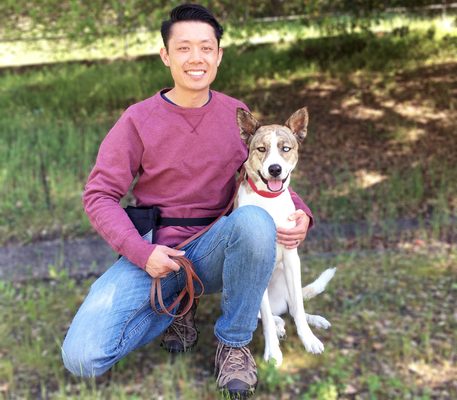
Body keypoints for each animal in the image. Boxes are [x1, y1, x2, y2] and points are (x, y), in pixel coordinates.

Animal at [237, 107, 334, 366]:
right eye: (261, 149)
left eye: (286, 148)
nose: (275, 169)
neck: (269, 202)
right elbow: (265, 318)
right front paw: (272, 351)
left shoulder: (292, 259)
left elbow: (298, 308)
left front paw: (309, 340)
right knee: (264, 315)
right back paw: (279, 325)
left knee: (293, 307)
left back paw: (313, 319)